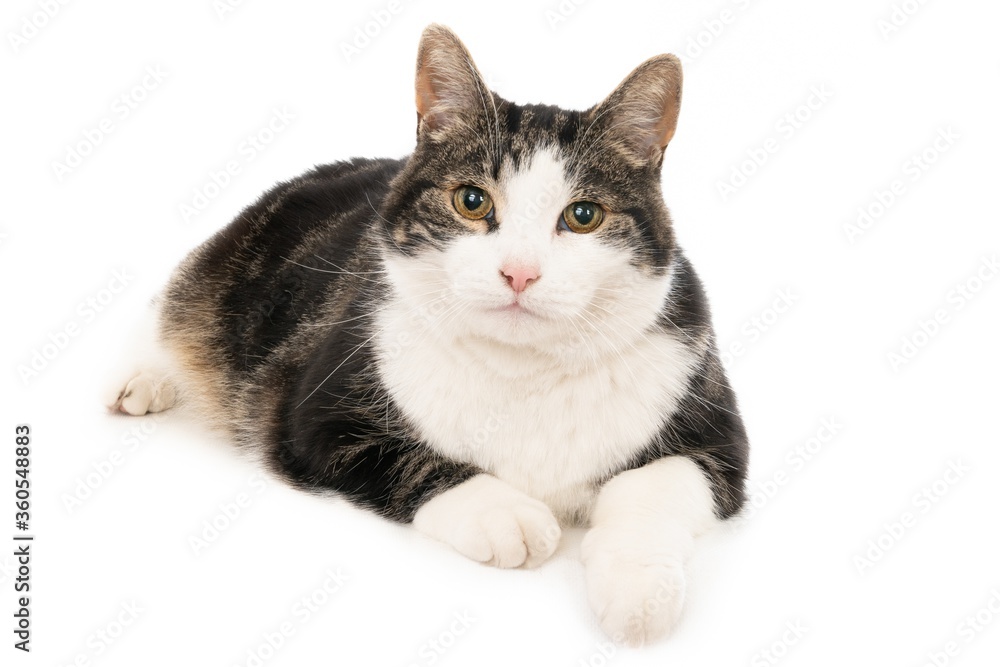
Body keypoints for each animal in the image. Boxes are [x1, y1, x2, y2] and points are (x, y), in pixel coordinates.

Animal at [109, 26, 752, 648]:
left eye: (584, 216)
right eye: (471, 201)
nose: (519, 272)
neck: (524, 367)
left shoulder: (716, 434)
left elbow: (654, 487)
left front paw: (638, 593)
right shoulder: (313, 416)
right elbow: (415, 462)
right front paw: (506, 514)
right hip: (220, 271)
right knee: (171, 307)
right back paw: (142, 379)